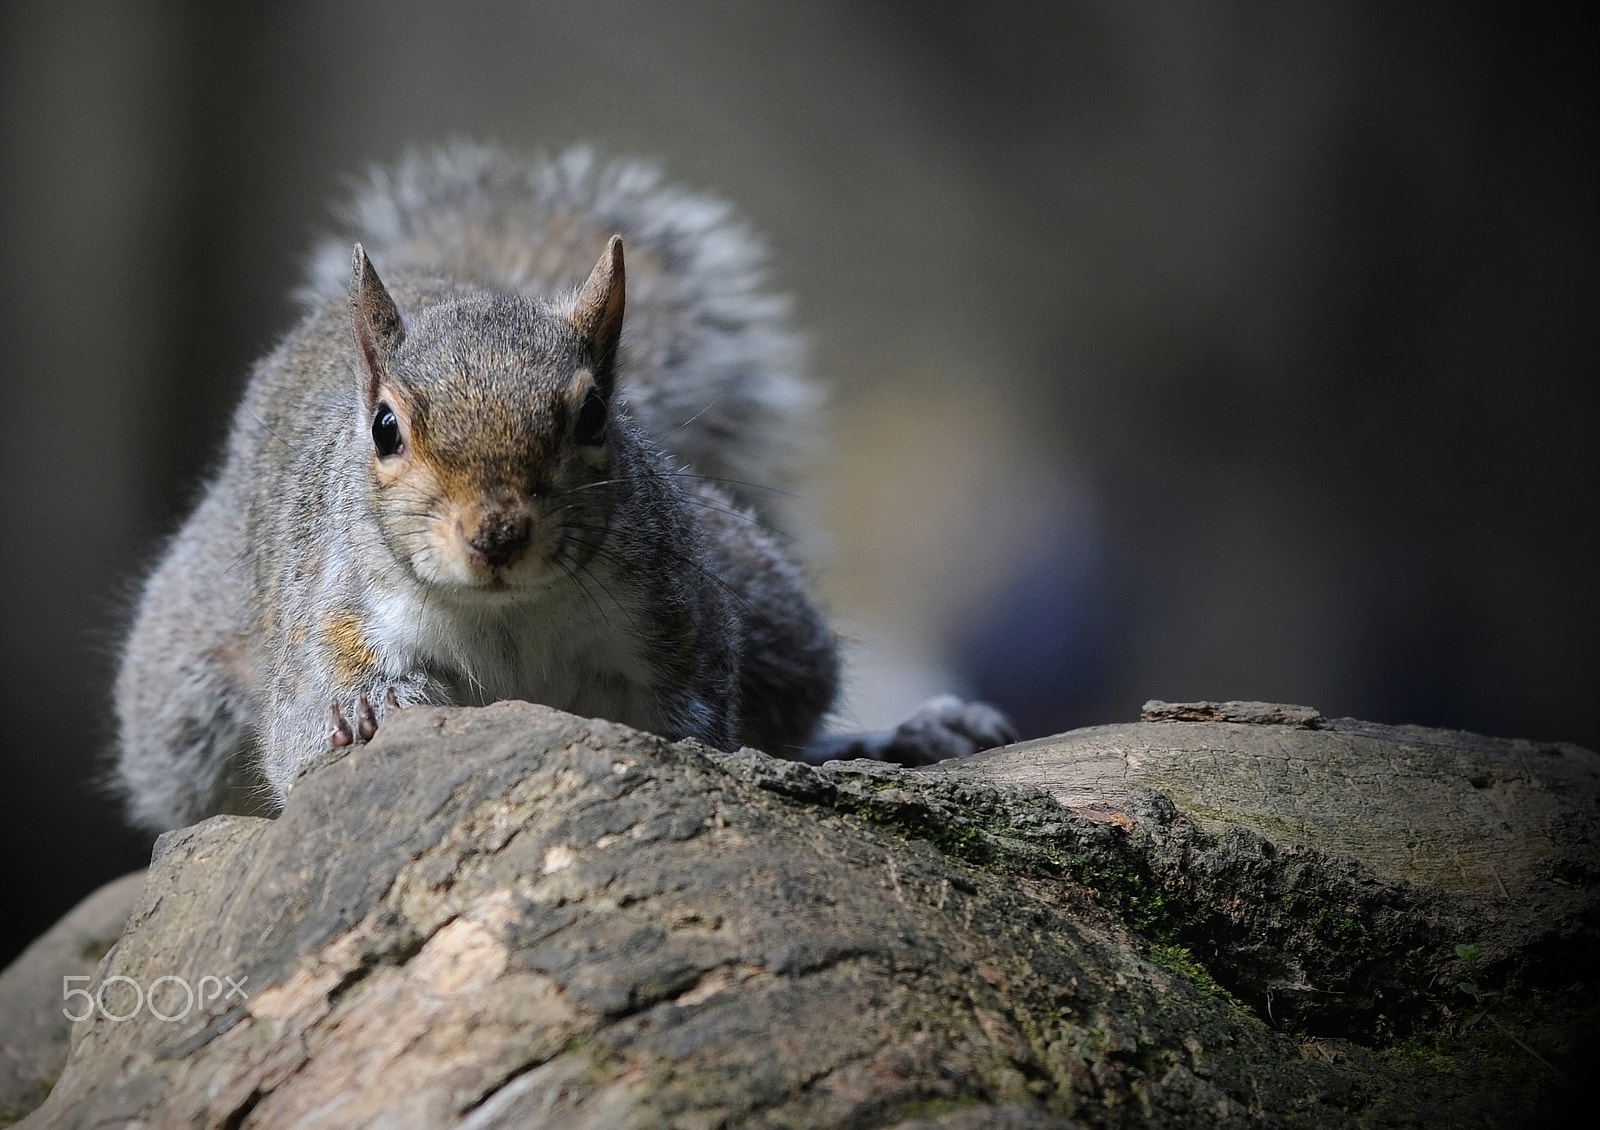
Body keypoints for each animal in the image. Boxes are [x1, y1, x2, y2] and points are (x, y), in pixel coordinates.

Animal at [116, 143, 1011, 825]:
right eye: (384, 429)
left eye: (595, 416)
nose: (497, 535)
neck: (505, 617)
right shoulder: (331, 617)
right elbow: (303, 732)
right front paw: (368, 712)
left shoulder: (679, 615)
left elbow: (710, 733)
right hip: (183, 701)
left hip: (773, 613)